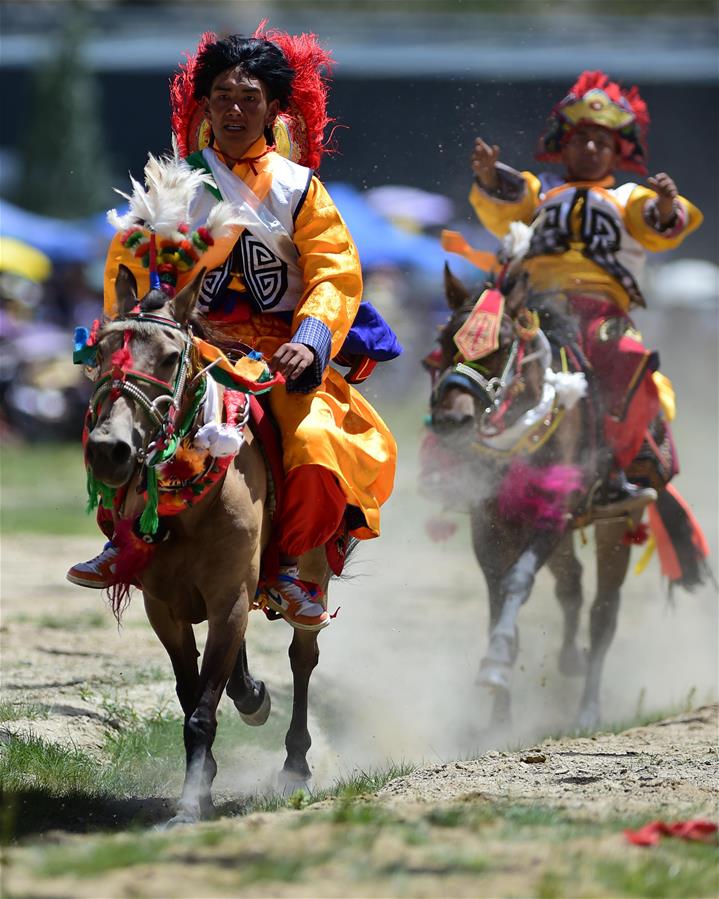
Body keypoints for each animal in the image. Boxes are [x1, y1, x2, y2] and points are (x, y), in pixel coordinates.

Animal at [86, 264, 332, 828]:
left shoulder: (230, 598)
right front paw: (205, 780)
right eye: (101, 351)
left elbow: (201, 710)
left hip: (313, 572)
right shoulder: (163, 607)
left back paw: (296, 764)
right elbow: (189, 690)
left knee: (302, 656)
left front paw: (190, 805)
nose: (109, 450)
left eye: (170, 357)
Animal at [422, 264, 664, 728]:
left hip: (615, 524)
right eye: (443, 344)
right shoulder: (490, 522)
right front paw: (499, 716)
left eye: (500, 345)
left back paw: (588, 710)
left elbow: (517, 581)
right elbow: (498, 598)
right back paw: (570, 659)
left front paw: (497, 661)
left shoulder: (554, 513)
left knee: (603, 612)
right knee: (571, 585)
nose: (450, 420)